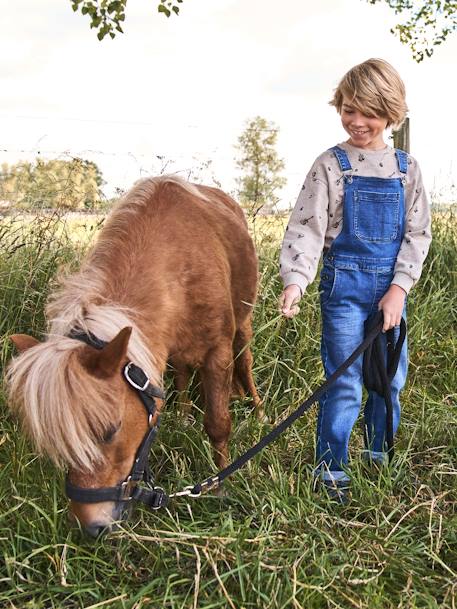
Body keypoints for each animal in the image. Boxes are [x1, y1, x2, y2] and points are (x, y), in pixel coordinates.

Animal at [7, 175, 262, 532]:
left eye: (110, 431)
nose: (90, 527)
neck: (178, 262)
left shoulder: (218, 352)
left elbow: (218, 424)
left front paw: (220, 486)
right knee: (182, 372)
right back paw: (184, 416)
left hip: (243, 324)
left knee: (246, 362)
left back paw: (259, 409)